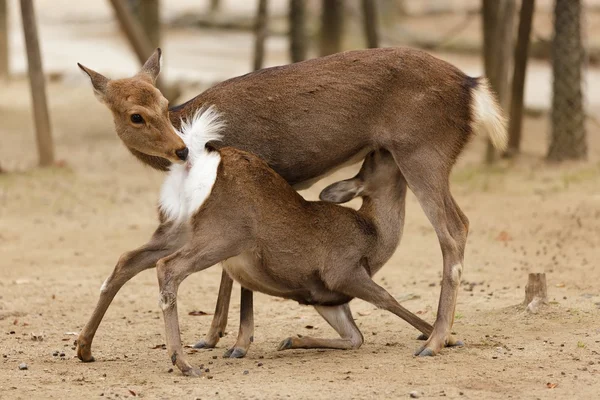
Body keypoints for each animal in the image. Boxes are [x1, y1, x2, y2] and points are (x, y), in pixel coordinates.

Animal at [75, 47, 506, 362]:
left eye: (164, 105)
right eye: (135, 115)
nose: (180, 149)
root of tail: (473, 89)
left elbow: (234, 273)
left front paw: (237, 342)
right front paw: (213, 337)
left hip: (422, 150)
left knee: (454, 227)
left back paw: (435, 340)